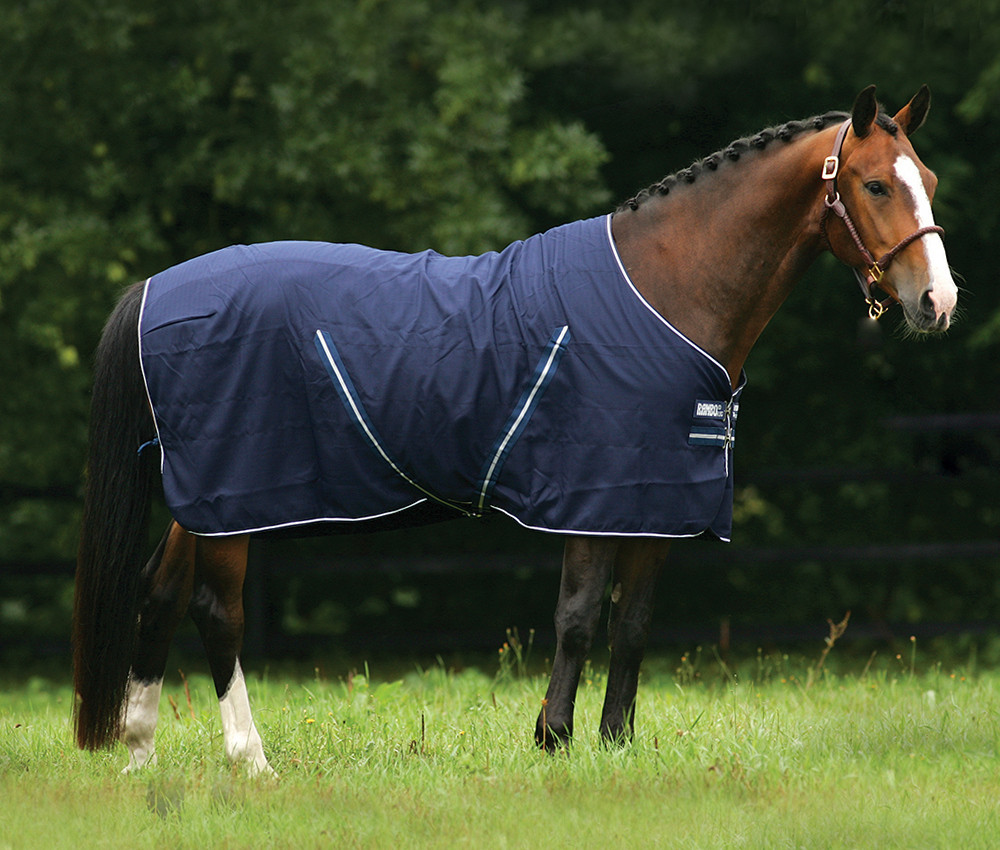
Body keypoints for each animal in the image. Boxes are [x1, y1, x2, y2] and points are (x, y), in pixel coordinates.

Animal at [73, 86, 957, 775]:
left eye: (929, 181)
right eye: (875, 186)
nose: (937, 303)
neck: (666, 292)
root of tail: (158, 287)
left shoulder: (657, 501)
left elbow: (632, 627)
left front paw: (615, 746)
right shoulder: (596, 495)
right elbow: (577, 617)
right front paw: (553, 740)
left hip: (204, 499)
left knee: (157, 591)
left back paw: (140, 751)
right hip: (237, 496)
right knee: (216, 608)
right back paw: (251, 760)